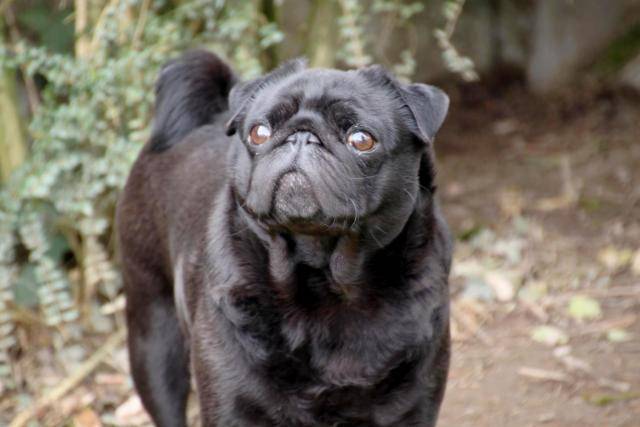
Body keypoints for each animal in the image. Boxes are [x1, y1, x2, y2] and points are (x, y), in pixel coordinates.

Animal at [116, 50, 452, 427]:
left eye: (361, 140)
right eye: (259, 133)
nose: (302, 135)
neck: (324, 281)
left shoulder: (413, 407)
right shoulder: (231, 408)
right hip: (154, 342)